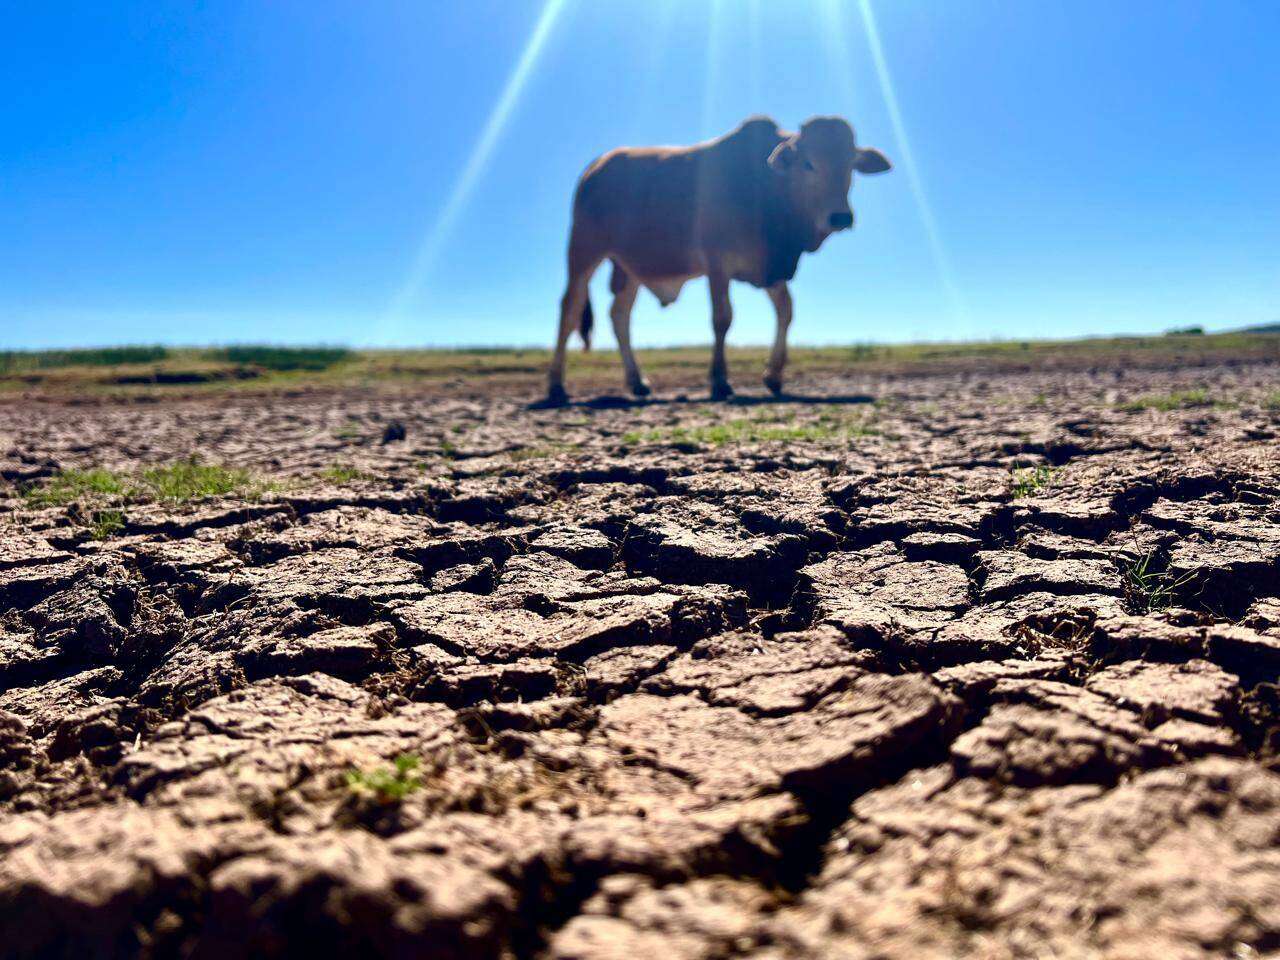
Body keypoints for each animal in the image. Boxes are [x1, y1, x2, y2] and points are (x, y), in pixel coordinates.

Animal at [547, 114, 890, 404]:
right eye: (808, 163)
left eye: (851, 164)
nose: (840, 217)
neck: (765, 191)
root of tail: (596, 166)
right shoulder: (717, 264)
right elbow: (723, 318)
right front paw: (720, 381)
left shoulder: (769, 268)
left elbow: (786, 311)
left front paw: (774, 376)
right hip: (583, 249)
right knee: (569, 309)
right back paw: (556, 386)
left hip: (632, 267)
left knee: (619, 315)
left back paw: (637, 381)